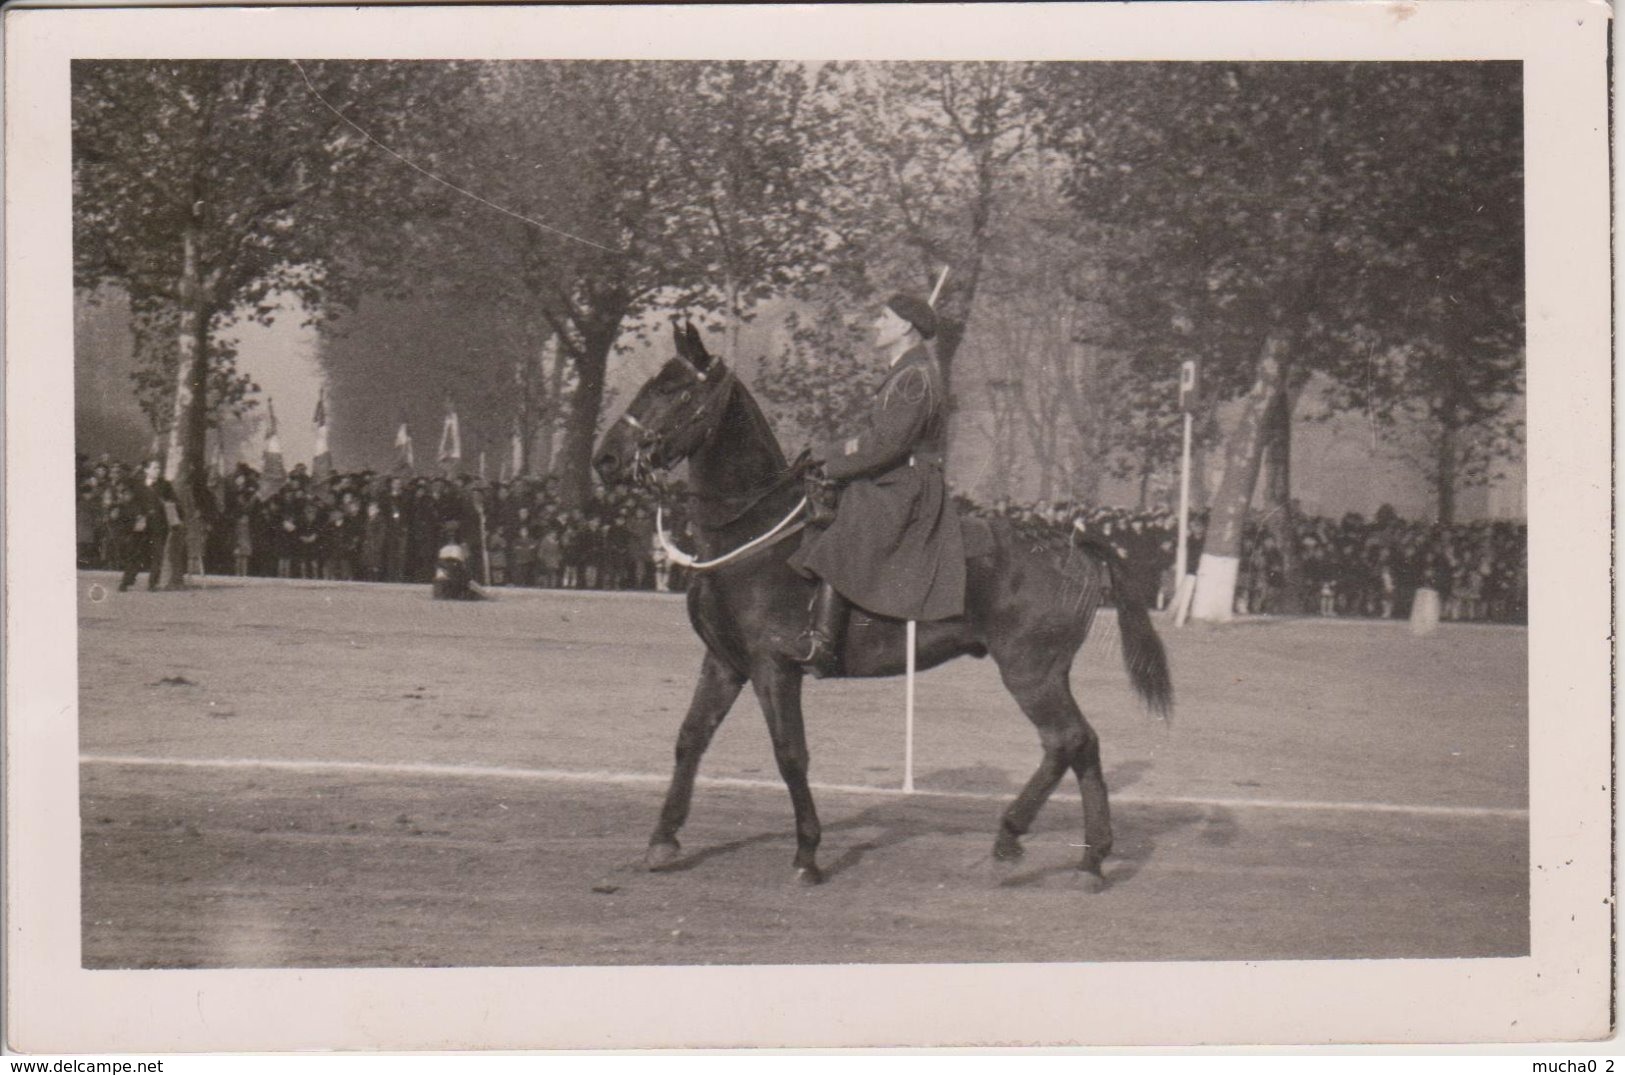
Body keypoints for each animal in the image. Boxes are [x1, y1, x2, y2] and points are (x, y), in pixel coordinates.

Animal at [594, 324, 1170, 889]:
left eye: (671, 389)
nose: (606, 458)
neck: (756, 532)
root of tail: (1074, 544)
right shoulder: (725, 663)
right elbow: (690, 739)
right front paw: (663, 839)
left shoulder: (772, 667)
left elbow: (790, 754)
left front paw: (808, 853)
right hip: (1047, 674)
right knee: (1083, 745)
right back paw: (1091, 859)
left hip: (1030, 672)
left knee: (1065, 740)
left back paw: (1010, 839)